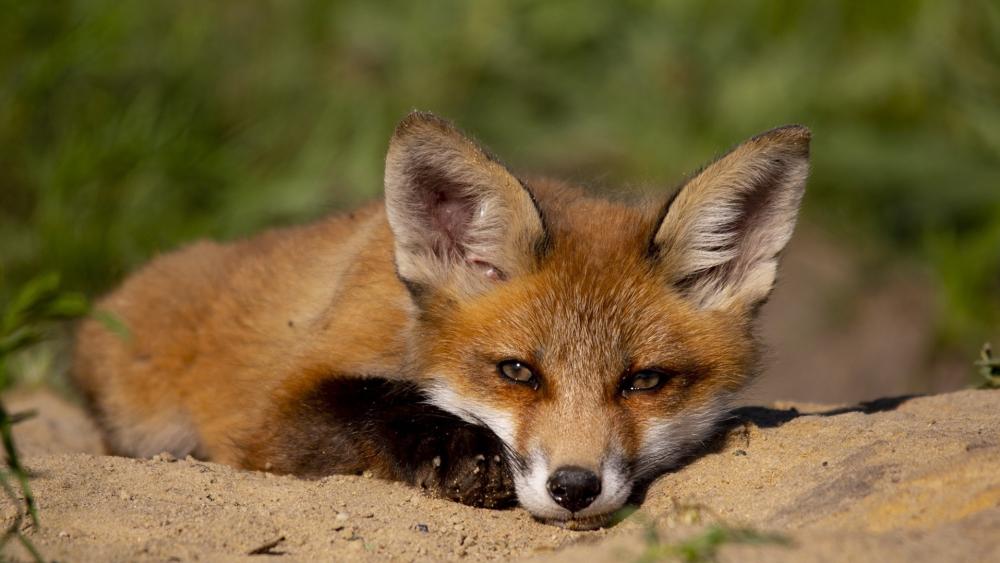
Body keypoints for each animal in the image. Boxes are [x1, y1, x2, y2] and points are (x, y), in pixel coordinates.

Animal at [73, 112, 810, 530]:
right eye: (517, 372)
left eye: (645, 382)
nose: (574, 487)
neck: (405, 321)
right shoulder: (268, 420)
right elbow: (375, 398)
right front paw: (457, 446)